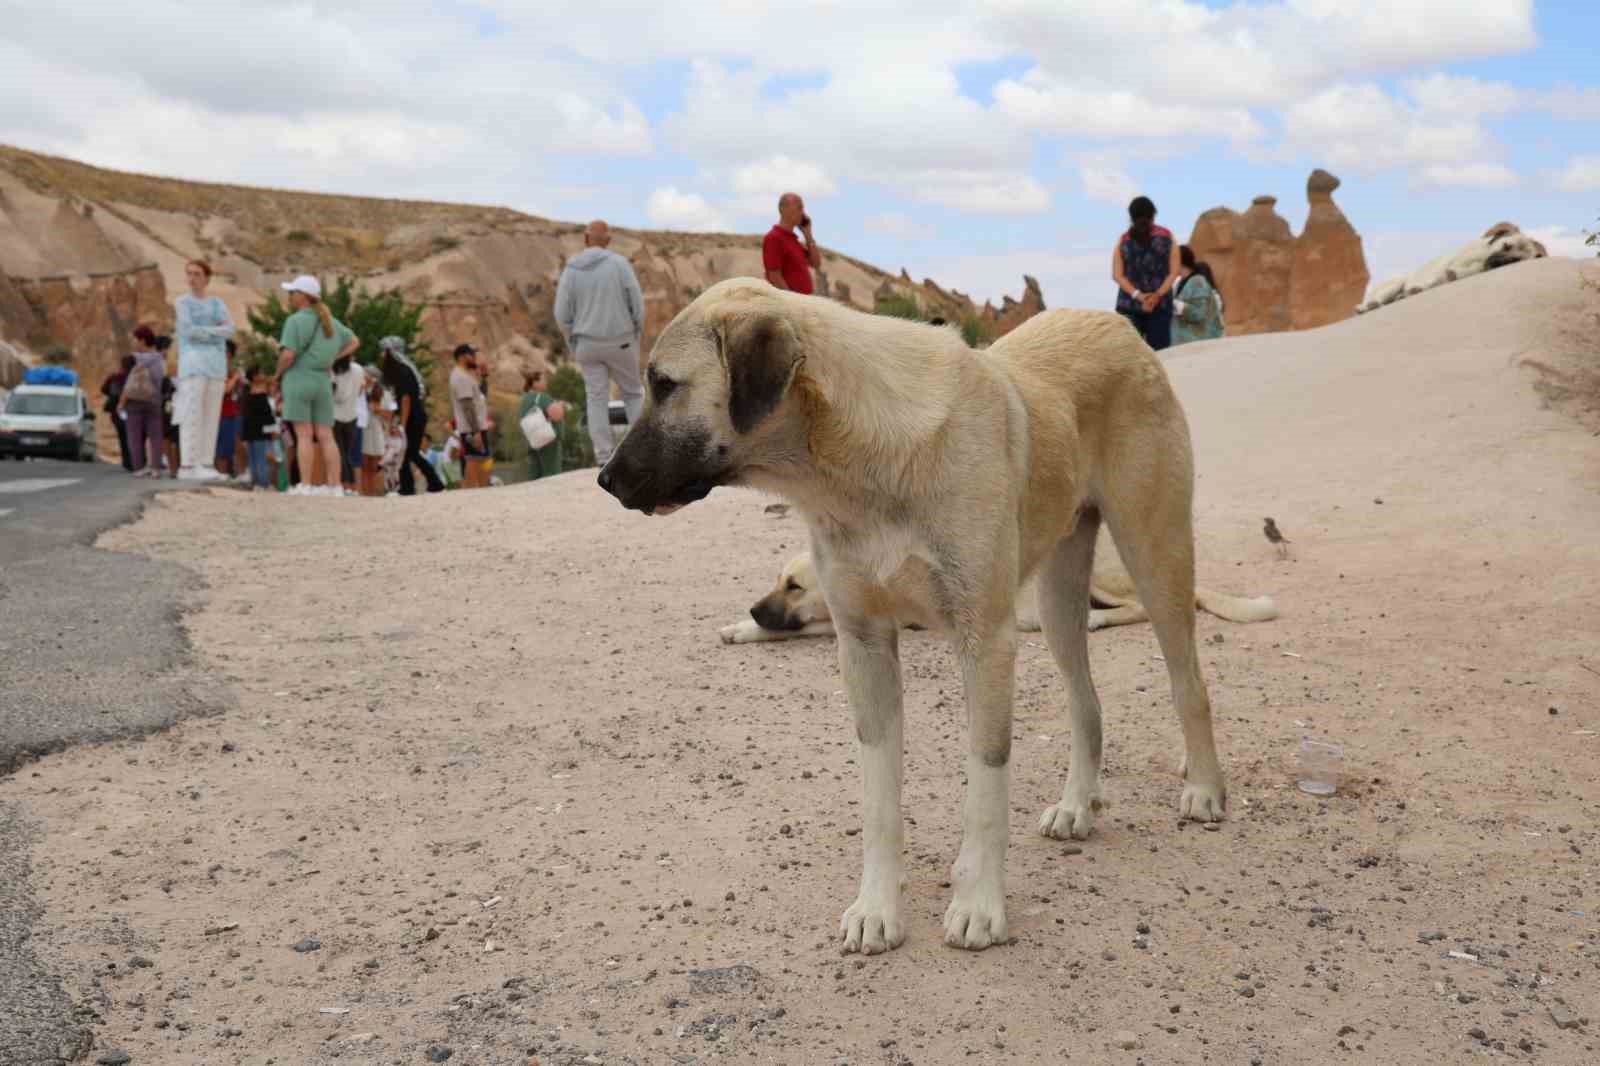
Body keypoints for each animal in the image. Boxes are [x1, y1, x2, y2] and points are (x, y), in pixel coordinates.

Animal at [601, 278, 1235, 947]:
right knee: (1086, 703)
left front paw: (978, 903)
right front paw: (877, 909)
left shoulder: (986, 643)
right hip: (1058, 601)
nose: (604, 479)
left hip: (1154, 557)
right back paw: (1076, 805)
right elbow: (879, 800)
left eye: (664, 383)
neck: (858, 463)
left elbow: (985, 787)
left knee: (1189, 684)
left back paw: (1203, 788)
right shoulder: (864, 647)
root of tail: (1114, 323)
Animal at [1363, 220, 1548, 312]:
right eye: (1506, 246)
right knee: (1369, 304)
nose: (1498, 263)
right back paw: (1372, 304)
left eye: (1516, 260)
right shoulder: (1453, 265)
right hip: (1394, 284)